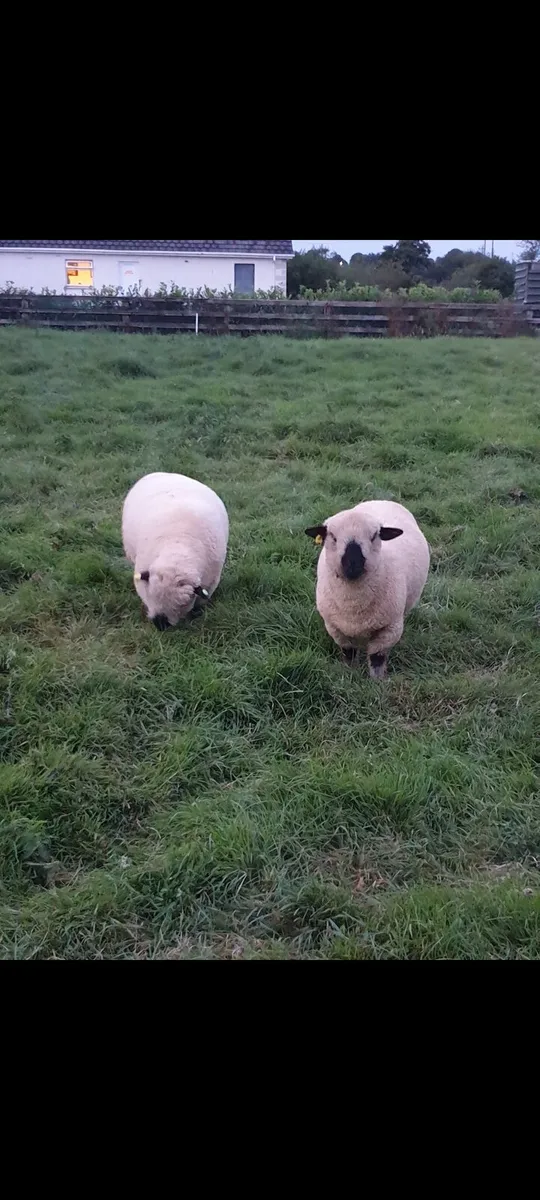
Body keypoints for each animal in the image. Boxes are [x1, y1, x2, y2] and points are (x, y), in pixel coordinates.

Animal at [305, 499, 430, 679]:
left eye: (374, 536)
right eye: (333, 537)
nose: (353, 563)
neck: (353, 604)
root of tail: (382, 500)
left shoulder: (389, 628)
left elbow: (377, 657)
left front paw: (376, 681)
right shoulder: (334, 627)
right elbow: (348, 653)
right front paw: (350, 673)